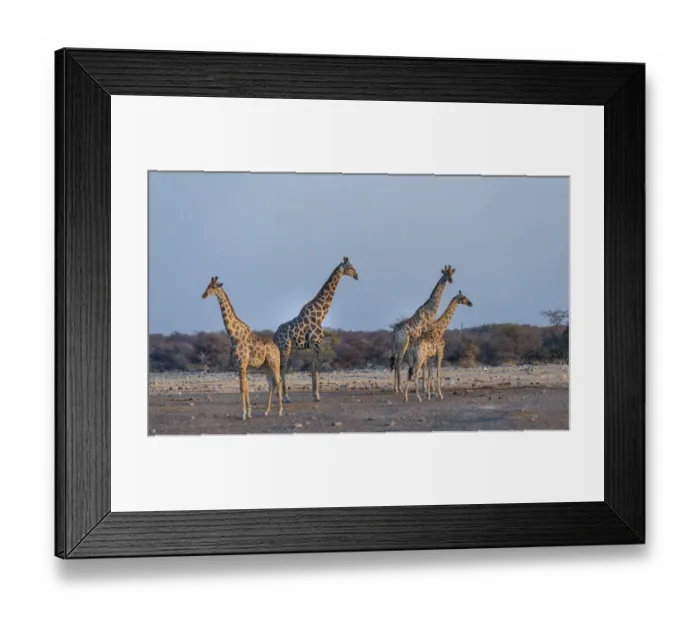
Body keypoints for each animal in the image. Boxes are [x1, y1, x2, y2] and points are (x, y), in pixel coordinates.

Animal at [202, 276, 283, 420]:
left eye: (213, 286)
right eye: (208, 285)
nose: (204, 295)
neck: (234, 336)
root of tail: (277, 349)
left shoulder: (242, 363)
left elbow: (242, 387)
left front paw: (243, 414)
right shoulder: (239, 365)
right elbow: (245, 386)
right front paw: (249, 413)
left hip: (274, 363)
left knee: (279, 382)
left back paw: (280, 411)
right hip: (266, 366)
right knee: (271, 384)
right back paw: (266, 411)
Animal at [274, 257, 359, 402]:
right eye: (350, 267)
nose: (357, 276)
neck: (320, 314)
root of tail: (275, 335)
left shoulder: (315, 345)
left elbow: (313, 369)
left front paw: (315, 395)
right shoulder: (316, 344)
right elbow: (315, 369)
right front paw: (317, 396)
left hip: (286, 348)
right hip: (285, 347)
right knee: (282, 369)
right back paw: (285, 397)